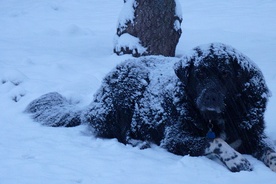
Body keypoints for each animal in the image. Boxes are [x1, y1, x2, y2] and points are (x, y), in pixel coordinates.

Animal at [25, 42, 276, 172]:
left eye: (225, 74)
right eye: (200, 74)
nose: (210, 98)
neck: (221, 117)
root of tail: (94, 102)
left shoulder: (253, 135)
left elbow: (270, 150)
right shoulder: (175, 138)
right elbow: (216, 141)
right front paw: (235, 159)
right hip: (130, 81)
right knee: (117, 133)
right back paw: (140, 143)